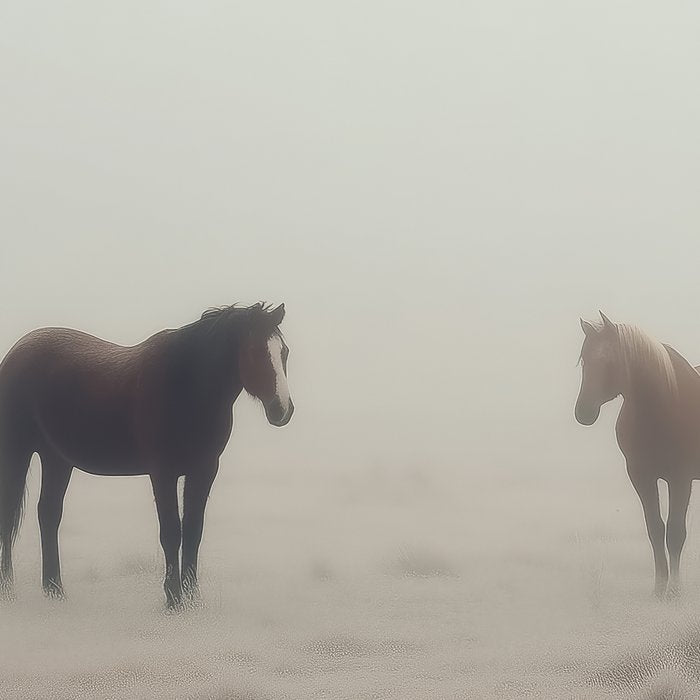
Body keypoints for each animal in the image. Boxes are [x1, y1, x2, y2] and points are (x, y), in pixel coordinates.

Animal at [0, 302, 293, 609]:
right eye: (254, 351)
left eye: (284, 351)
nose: (282, 409)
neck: (185, 387)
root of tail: (16, 352)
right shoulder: (163, 473)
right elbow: (172, 532)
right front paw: (173, 598)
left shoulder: (203, 470)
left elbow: (193, 531)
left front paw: (192, 597)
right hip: (17, 452)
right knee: (9, 517)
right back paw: (8, 589)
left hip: (56, 459)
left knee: (48, 513)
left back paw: (54, 590)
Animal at [575, 311, 700, 597]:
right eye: (584, 359)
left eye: (609, 360)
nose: (583, 412)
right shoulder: (641, 476)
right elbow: (655, 529)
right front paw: (659, 588)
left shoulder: (680, 479)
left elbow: (675, 533)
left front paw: (674, 591)